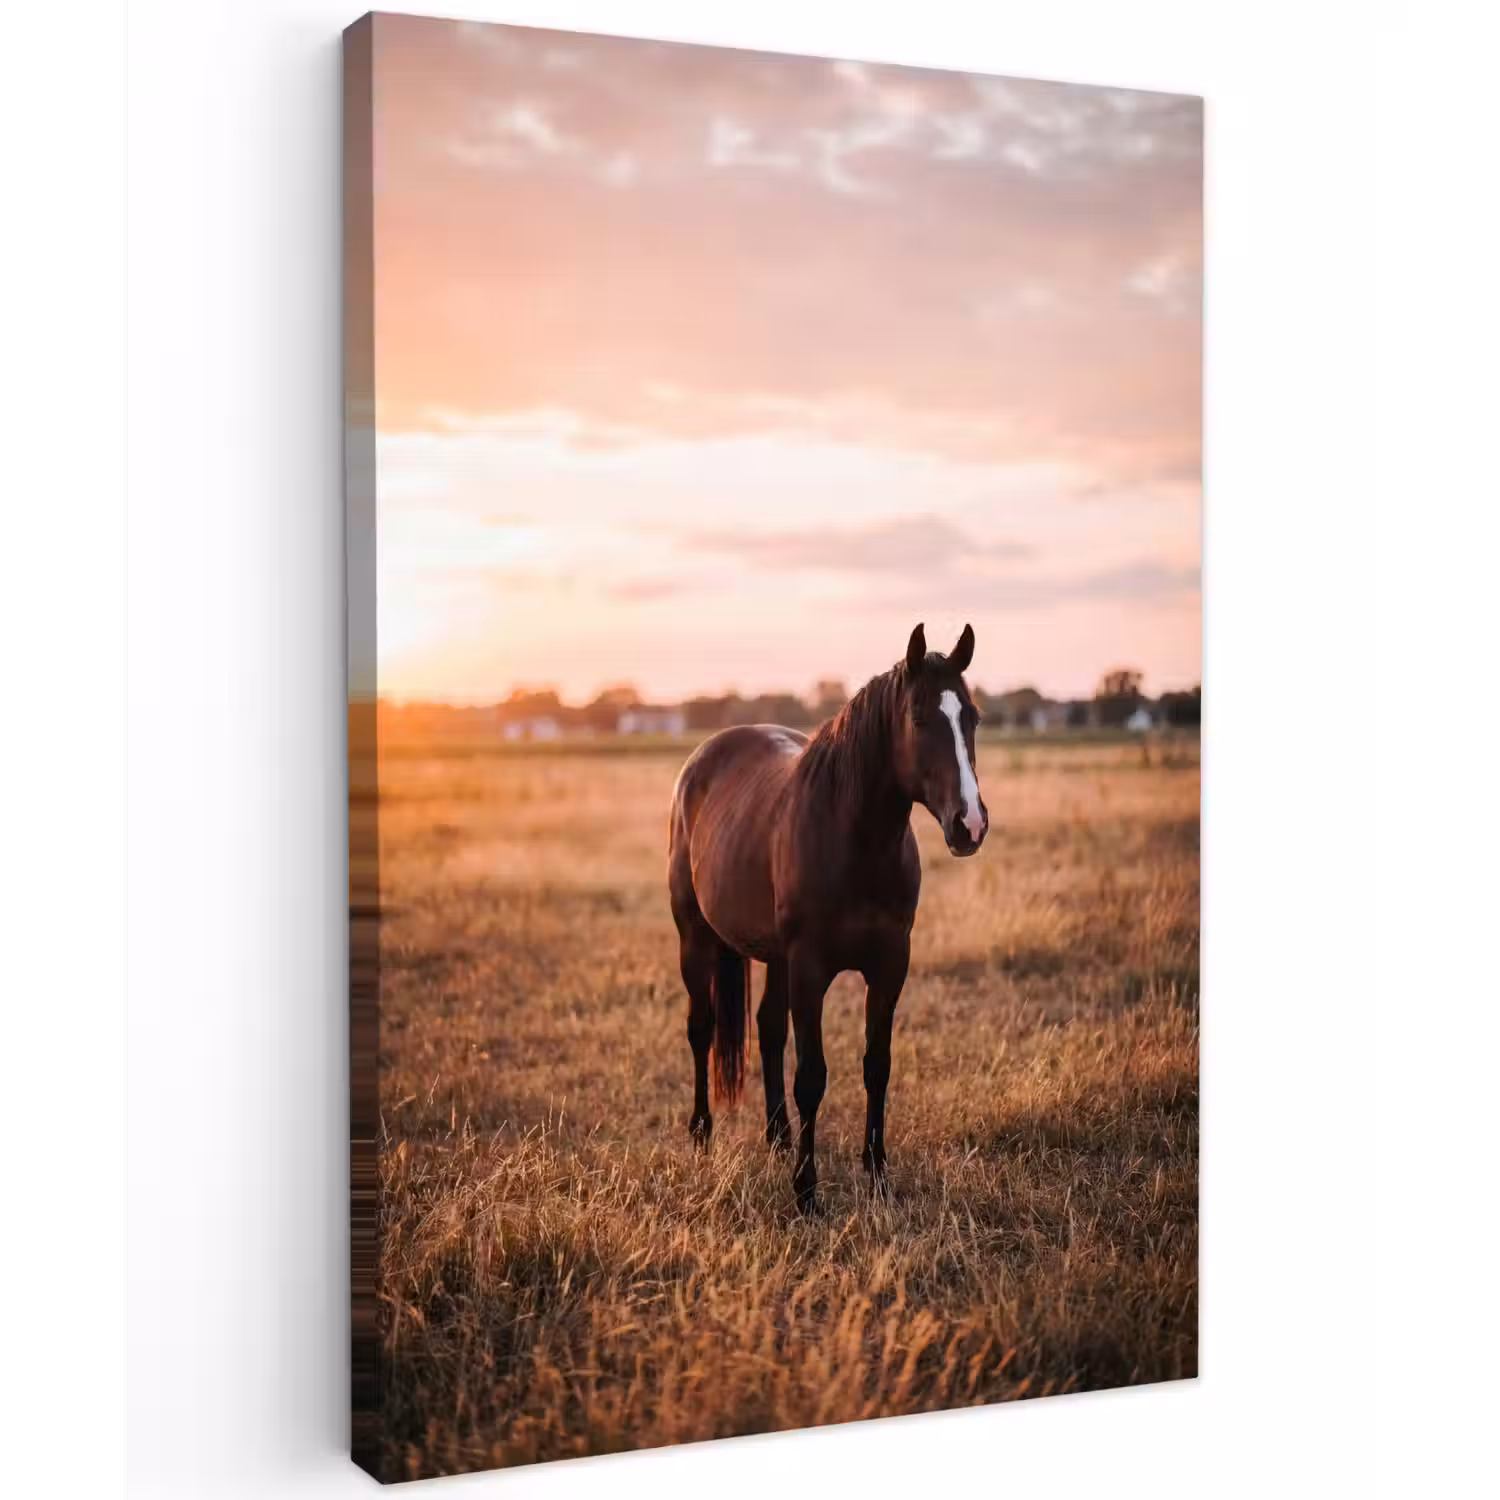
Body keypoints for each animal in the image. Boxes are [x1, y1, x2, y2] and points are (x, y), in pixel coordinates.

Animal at [667, 622, 989, 1212]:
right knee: (701, 1029)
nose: (970, 824)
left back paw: (778, 1136)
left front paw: (878, 1175)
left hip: (773, 957)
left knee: (768, 1028)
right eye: (919, 719)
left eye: (972, 718)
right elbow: (812, 1077)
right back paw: (702, 1134)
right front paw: (806, 1192)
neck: (853, 842)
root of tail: (703, 757)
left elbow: (876, 1066)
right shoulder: (811, 969)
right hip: (694, 936)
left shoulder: (890, 965)